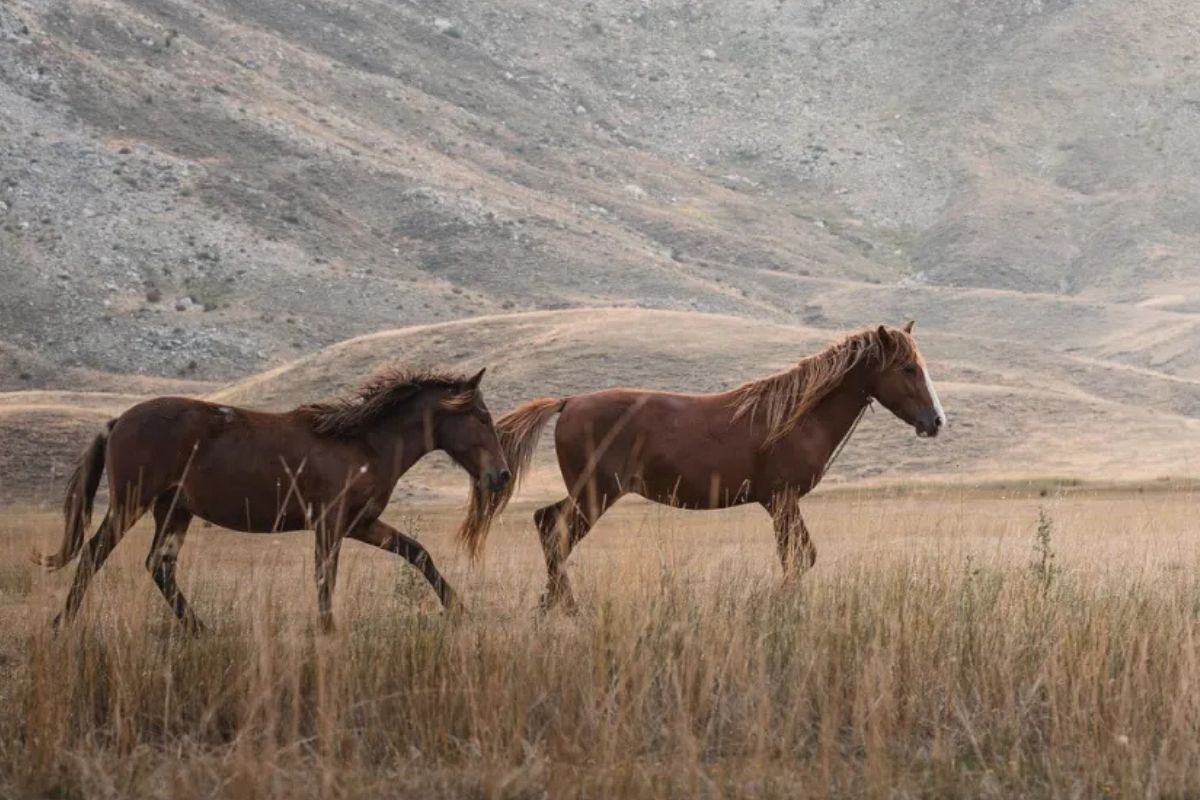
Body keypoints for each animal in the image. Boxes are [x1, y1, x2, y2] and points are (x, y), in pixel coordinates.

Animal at [36, 367, 511, 632]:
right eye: (481, 416)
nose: (502, 476)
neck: (364, 444)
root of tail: (117, 421)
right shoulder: (330, 523)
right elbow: (325, 575)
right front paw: (327, 628)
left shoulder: (360, 523)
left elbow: (418, 553)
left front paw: (460, 610)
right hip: (132, 503)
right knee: (96, 553)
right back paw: (62, 623)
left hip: (174, 509)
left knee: (159, 565)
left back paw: (199, 628)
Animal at [458, 323, 946, 611]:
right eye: (907, 368)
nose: (936, 421)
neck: (795, 416)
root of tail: (568, 402)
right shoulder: (782, 500)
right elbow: (798, 558)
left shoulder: (779, 504)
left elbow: (798, 557)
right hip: (596, 493)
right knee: (553, 531)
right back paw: (566, 607)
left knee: (547, 526)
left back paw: (553, 603)